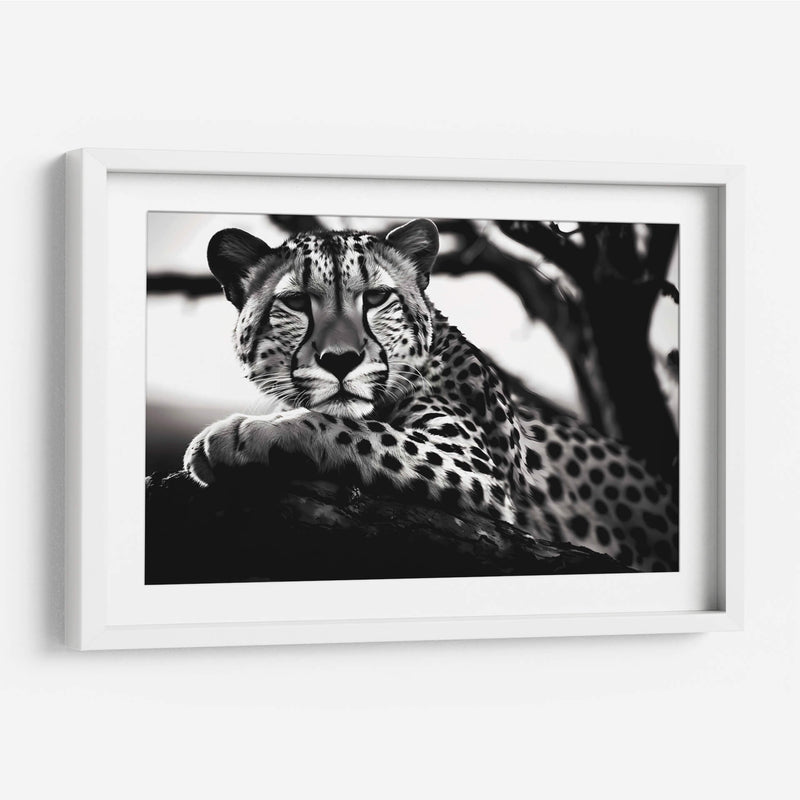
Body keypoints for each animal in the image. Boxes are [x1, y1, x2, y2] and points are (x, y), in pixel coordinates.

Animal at [183, 218, 678, 571]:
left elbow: (350, 427)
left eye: (376, 298)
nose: (341, 360)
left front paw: (243, 433)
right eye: (297, 302)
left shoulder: (474, 465)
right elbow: (354, 421)